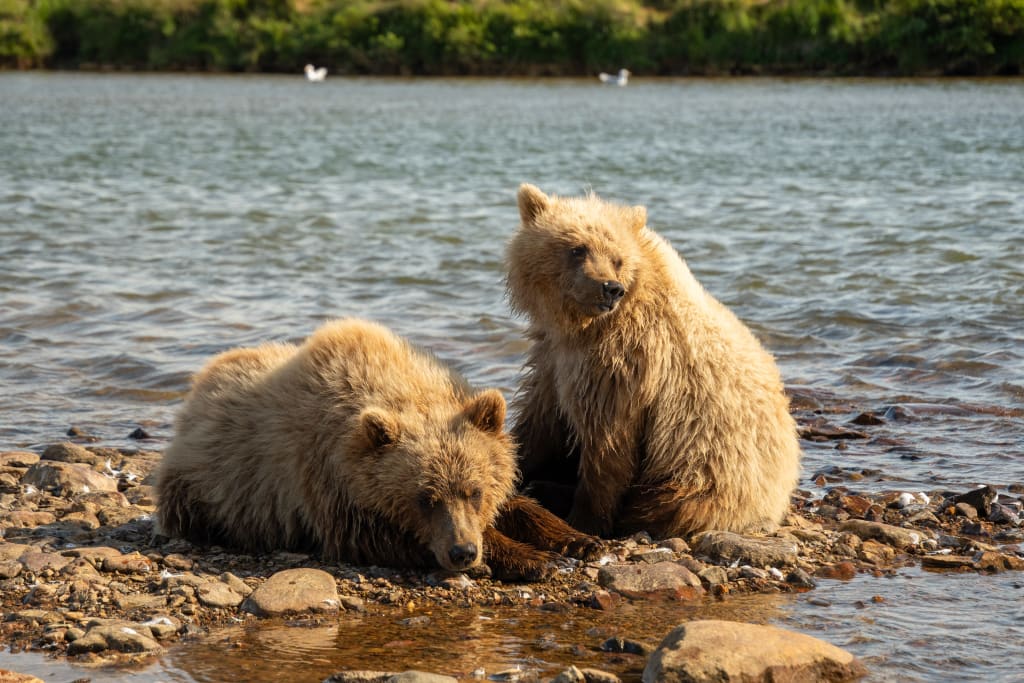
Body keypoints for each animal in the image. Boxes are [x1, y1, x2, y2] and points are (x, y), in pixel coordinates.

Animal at [156, 318, 600, 580]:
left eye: (474, 491)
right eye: (425, 498)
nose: (462, 552)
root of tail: (198, 384)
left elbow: (518, 503)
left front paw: (578, 539)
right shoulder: (329, 485)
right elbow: (378, 535)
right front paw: (530, 559)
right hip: (206, 483)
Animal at [506, 183, 802, 539]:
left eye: (618, 259)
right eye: (578, 248)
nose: (610, 288)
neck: (583, 328)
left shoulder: (625, 363)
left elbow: (608, 444)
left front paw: (586, 519)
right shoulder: (552, 357)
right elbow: (541, 418)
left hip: (707, 472)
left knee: (667, 503)